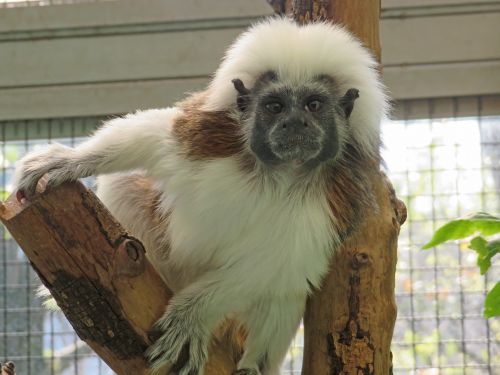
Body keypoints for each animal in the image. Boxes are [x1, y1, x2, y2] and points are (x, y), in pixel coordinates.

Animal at [12, 16, 386, 375]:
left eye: (313, 105)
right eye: (275, 107)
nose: (295, 124)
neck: (278, 174)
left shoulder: (333, 206)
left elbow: (271, 267)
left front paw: (192, 317)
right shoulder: (205, 140)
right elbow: (151, 138)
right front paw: (69, 160)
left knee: (288, 292)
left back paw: (252, 366)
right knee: (126, 182)